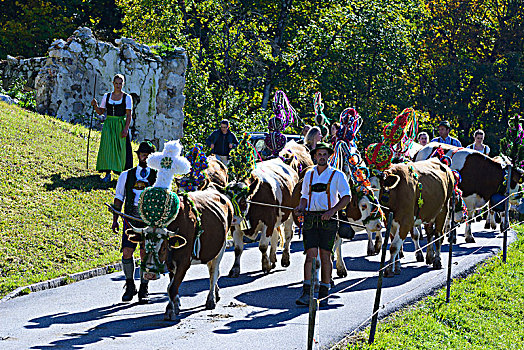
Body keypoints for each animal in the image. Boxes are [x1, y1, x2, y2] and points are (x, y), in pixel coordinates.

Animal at [135, 189, 233, 320]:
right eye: (142, 245)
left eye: (163, 248)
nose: (149, 274)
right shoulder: (171, 263)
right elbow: (171, 285)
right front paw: (175, 305)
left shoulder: (183, 262)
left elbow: (171, 287)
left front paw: (170, 311)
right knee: (214, 271)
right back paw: (216, 294)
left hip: (221, 247)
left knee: (214, 273)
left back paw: (211, 300)